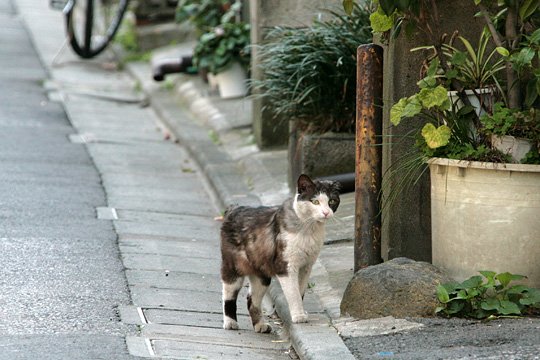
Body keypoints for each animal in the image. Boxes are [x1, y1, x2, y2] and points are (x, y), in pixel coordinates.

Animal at [218, 174, 338, 332]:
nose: (326, 212)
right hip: (233, 267)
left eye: (332, 201)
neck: (309, 230)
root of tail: (234, 208)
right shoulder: (286, 266)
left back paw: (260, 326)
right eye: (315, 201)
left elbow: (300, 291)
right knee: (228, 295)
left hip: (261, 275)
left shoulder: (306, 266)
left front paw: (300, 312)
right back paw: (230, 323)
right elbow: (293, 293)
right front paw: (298, 316)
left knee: (252, 300)